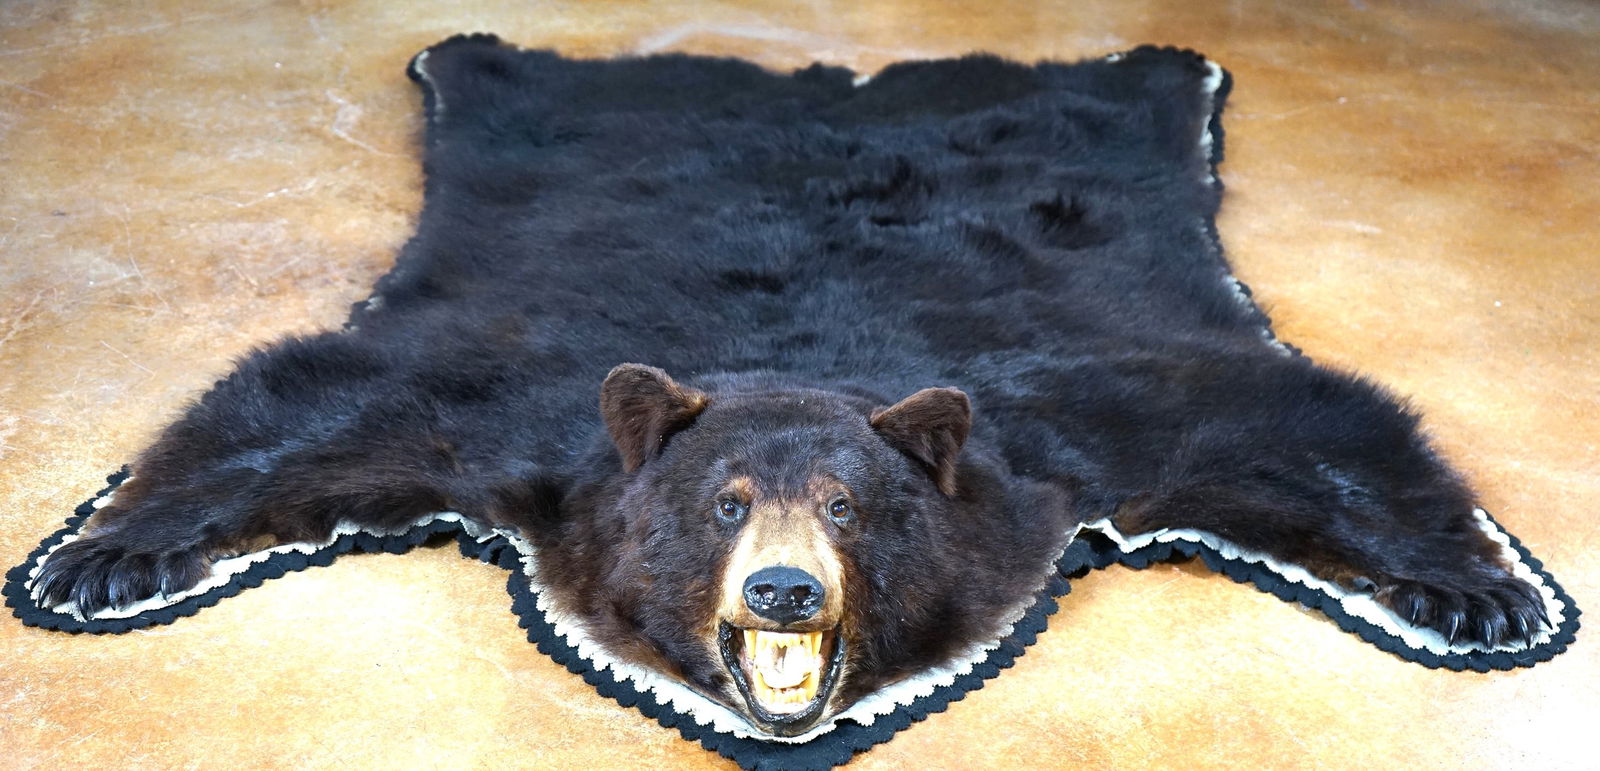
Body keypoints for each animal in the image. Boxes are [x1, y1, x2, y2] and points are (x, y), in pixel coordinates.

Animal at [26, 35, 1554, 738]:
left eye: (847, 506)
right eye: (722, 504)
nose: (781, 593)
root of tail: (826, 79)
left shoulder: (1071, 414)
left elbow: (1286, 417)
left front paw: (1482, 590)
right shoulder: (521, 408)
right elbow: (330, 397)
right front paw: (104, 556)